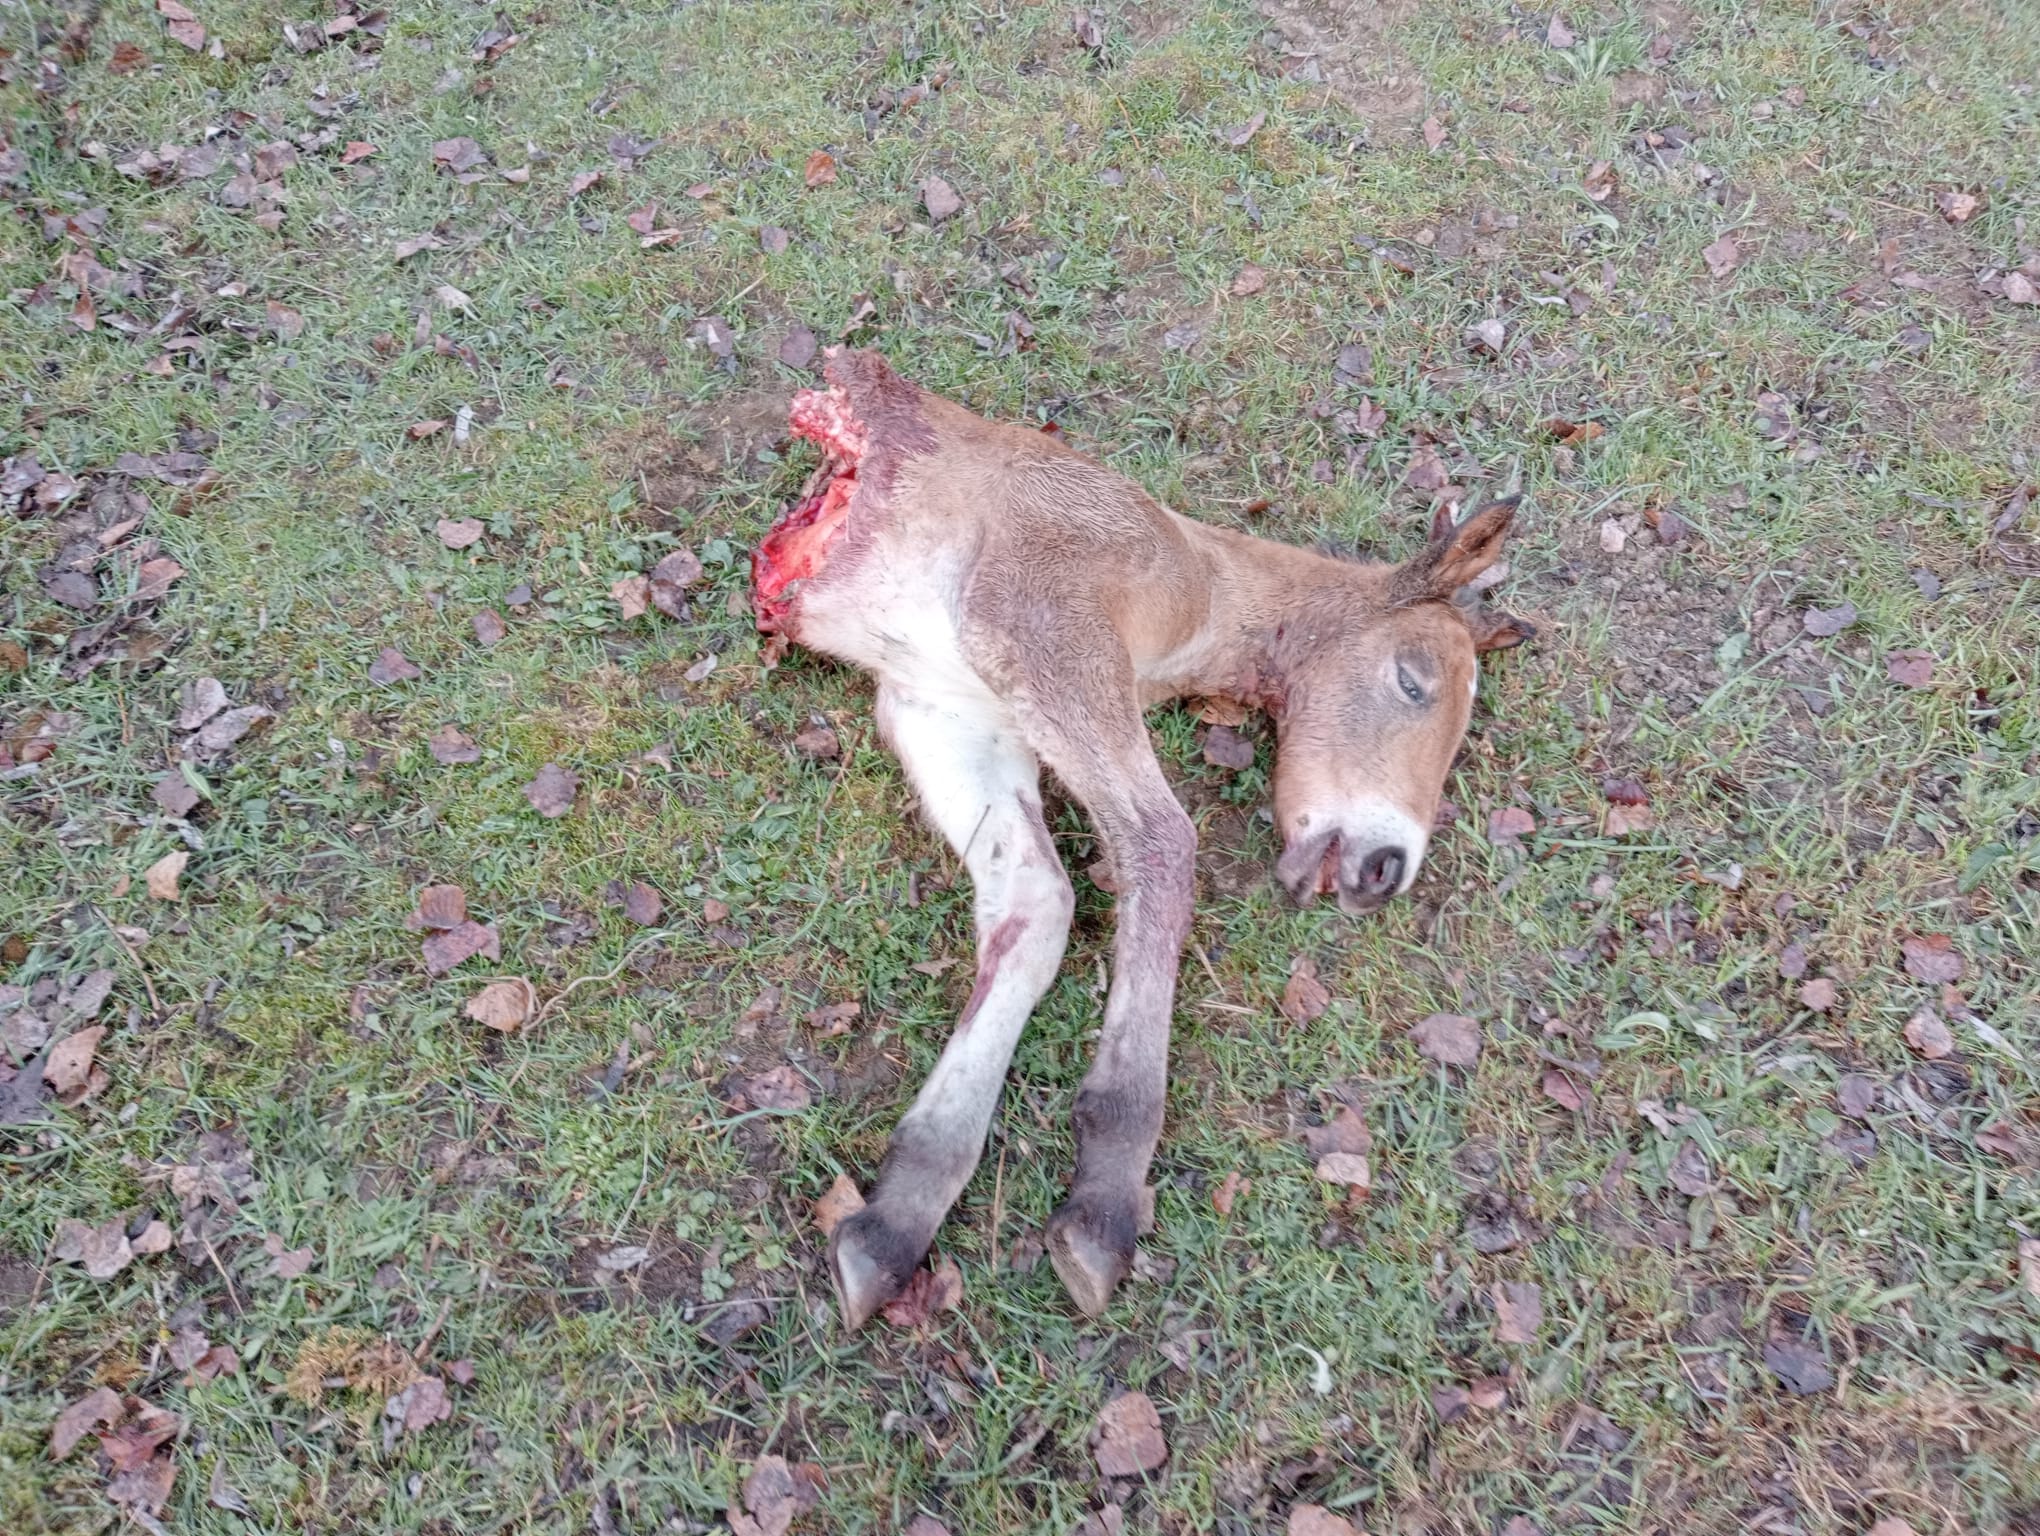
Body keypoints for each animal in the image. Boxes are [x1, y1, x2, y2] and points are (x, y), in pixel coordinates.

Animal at [754, 352, 1534, 1321]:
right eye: (1413, 680)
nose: (1386, 867)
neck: (1199, 578)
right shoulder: (1038, 615)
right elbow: (1163, 841)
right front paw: (1105, 1198)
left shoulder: (947, 705)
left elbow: (1037, 901)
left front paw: (899, 1212)